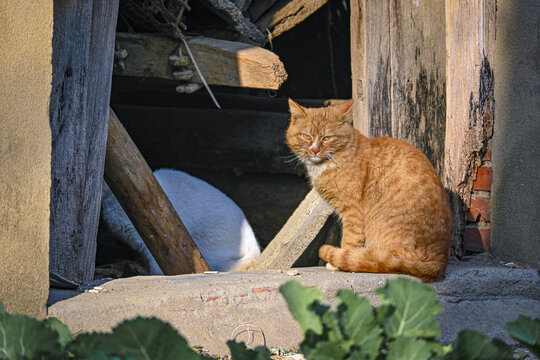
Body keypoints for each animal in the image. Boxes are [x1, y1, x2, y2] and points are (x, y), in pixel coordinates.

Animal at [286, 97, 452, 282]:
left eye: (327, 137)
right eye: (306, 136)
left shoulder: (353, 211)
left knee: (382, 262)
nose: (315, 149)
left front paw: (337, 263)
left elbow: (350, 241)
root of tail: (440, 262)